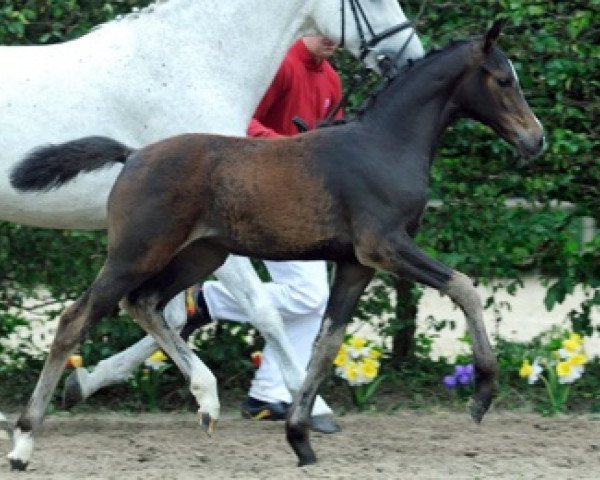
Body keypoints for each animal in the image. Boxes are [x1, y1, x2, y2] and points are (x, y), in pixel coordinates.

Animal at [8, 21, 544, 468]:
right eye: (503, 80)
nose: (536, 140)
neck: (385, 146)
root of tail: (133, 154)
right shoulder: (384, 246)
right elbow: (465, 286)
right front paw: (481, 395)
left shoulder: (355, 264)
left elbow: (326, 345)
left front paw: (300, 439)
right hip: (136, 253)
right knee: (77, 319)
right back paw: (24, 442)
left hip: (201, 253)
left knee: (146, 304)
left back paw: (206, 400)